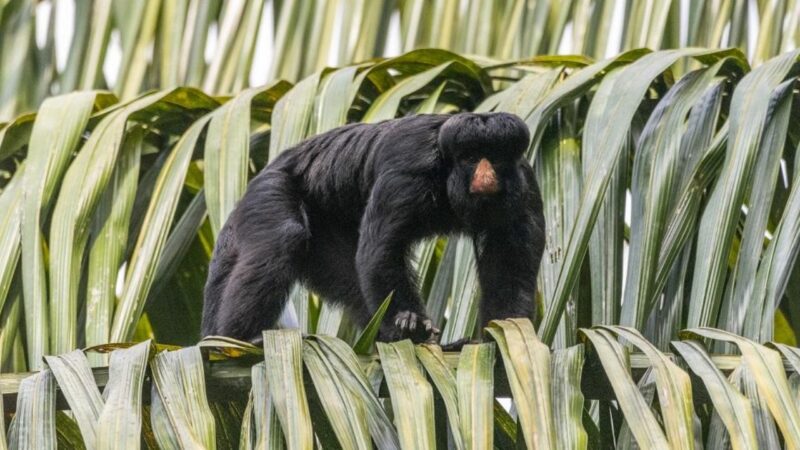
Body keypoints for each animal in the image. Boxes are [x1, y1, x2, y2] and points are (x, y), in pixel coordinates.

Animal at [201, 112, 546, 344]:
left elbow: (510, 262)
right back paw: (239, 338)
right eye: (472, 158)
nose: (485, 176)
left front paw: (501, 335)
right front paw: (411, 322)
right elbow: (382, 249)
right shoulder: (410, 164)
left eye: (495, 158)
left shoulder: (526, 185)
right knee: (284, 236)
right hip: (268, 191)